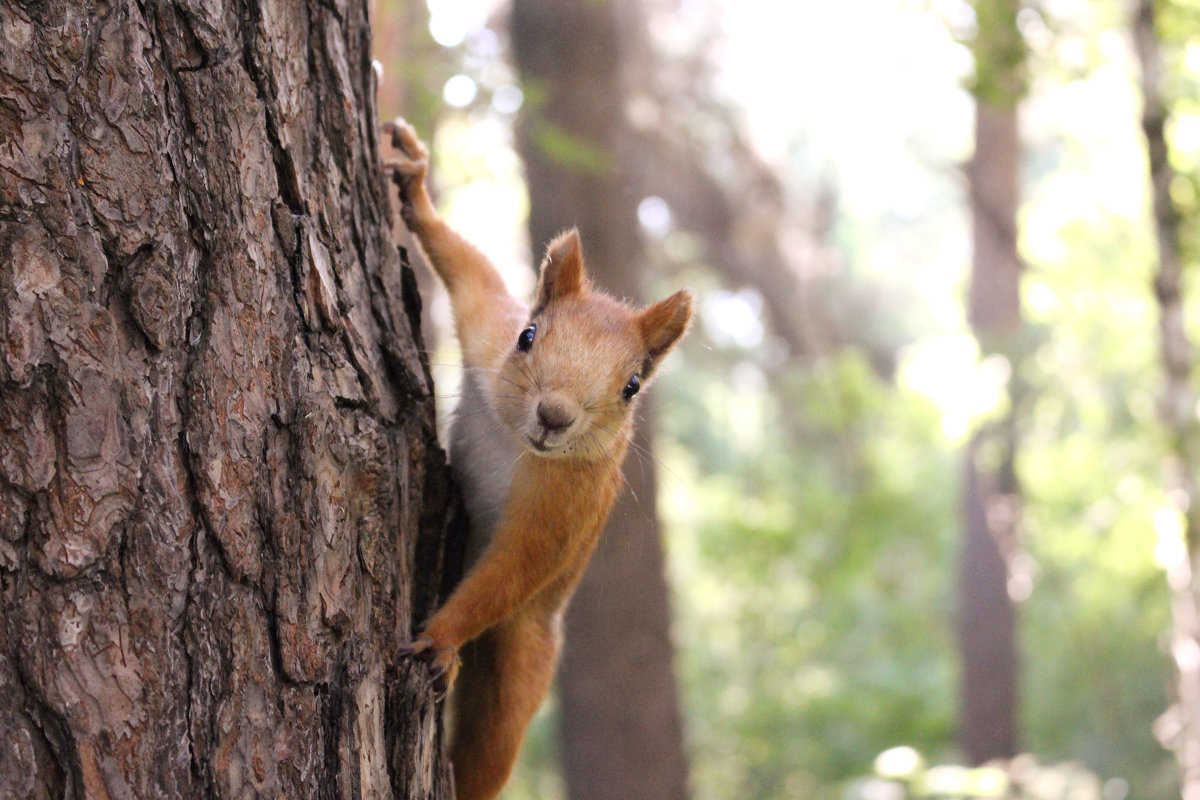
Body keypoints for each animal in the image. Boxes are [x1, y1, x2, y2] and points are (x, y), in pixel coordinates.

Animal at [379, 120, 691, 800]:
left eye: (632, 386)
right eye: (528, 335)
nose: (555, 416)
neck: (514, 441)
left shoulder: (566, 503)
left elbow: (516, 566)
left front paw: (440, 637)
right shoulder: (485, 331)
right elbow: (470, 271)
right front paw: (414, 188)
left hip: (524, 653)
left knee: (491, 741)